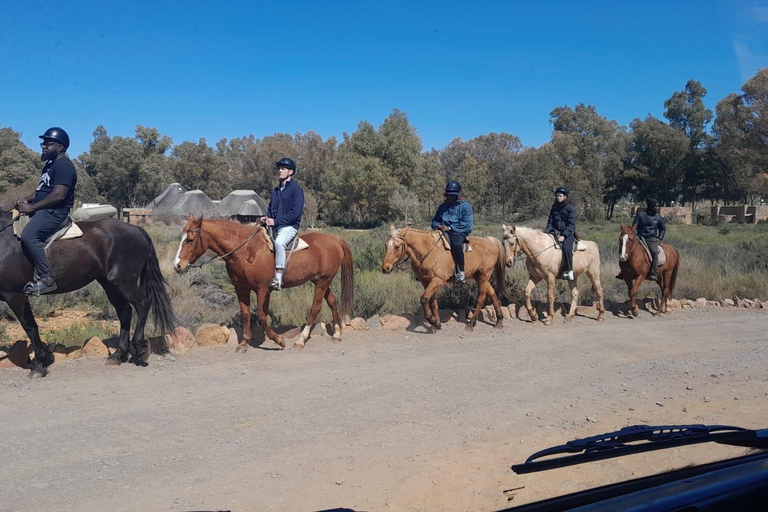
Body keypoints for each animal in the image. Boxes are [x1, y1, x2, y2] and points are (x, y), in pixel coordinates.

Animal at [0, 209, 176, 380]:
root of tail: (136, 229)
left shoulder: (15, 296)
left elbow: (30, 327)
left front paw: (40, 365)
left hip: (124, 282)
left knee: (143, 304)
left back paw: (139, 347)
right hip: (109, 283)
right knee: (125, 311)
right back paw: (119, 354)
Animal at [174, 214, 354, 350]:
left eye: (190, 240)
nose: (177, 265)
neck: (245, 250)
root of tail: (334, 239)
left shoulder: (262, 289)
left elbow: (261, 316)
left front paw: (279, 340)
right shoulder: (241, 288)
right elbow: (246, 314)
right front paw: (244, 343)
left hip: (323, 281)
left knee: (315, 308)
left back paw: (300, 340)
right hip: (320, 281)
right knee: (332, 302)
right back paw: (337, 334)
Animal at [378, 225, 510, 332]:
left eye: (397, 246)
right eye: (385, 245)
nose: (385, 268)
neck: (427, 250)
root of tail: (491, 240)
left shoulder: (438, 280)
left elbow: (424, 299)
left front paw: (432, 321)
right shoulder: (426, 281)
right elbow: (432, 302)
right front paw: (435, 324)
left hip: (484, 275)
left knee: (481, 298)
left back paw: (471, 324)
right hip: (479, 276)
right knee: (492, 292)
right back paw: (499, 321)